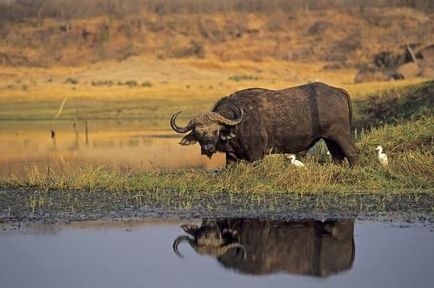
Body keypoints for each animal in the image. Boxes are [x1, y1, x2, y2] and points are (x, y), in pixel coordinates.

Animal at [171, 82, 358, 165]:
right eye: (198, 133)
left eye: (215, 131)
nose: (207, 148)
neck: (238, 124)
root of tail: (338, 90)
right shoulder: (231, 157)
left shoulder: (257, 155)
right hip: (329, 139)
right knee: (337, 157)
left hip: (341, 135)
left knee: (352, 154)